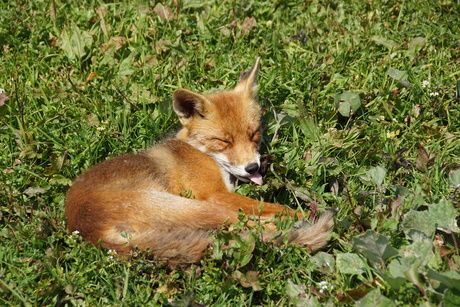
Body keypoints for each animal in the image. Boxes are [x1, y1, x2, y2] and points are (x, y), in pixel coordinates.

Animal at [64, 57, 334, 264]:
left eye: (254, 134)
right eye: (224, 141)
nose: (253, 167)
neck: (200, 152)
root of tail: (90, 232)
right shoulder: (214, 194)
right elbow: (270, 207)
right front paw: (305, 212)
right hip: (197, 207)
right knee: (251, 224)